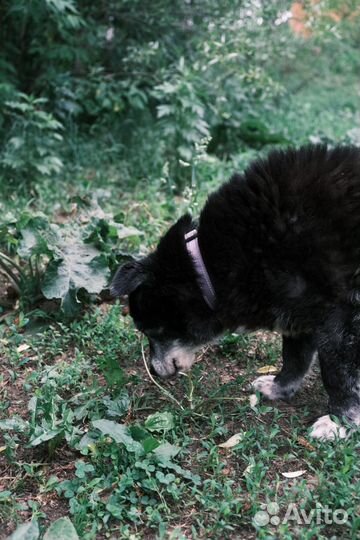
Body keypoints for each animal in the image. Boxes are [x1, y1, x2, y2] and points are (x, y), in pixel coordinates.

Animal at [112, 144, 360, 438]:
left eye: (149, 331)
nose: (153, 370)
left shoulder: (339, 319)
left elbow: (336, 374)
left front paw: (340, 421)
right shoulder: (300, 310)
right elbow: (294, 357)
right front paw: (279, 387)